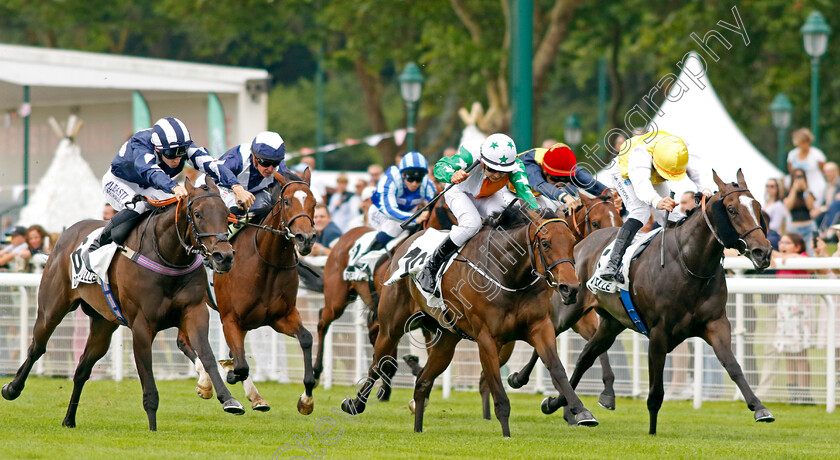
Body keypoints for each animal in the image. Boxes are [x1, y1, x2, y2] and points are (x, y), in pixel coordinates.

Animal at [1, 178, 241, 430]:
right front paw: (153, 428)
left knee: (82, 369)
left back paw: (69, 419)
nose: (224, 256)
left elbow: (207, 356)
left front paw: (228, 399)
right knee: (37, 347)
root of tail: (64, 235)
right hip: (52, 308)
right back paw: (11, 388)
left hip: (103, 323)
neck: (167, 255)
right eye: (197, 213)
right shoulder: (142, 325)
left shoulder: (194, 312)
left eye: (226, 213)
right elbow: (148, 379)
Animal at [182, 169, 316, 414]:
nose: (306, 239)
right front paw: (230, 373)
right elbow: (241, 365)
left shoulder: (281, 317)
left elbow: (306, 339)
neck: (266, 262)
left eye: (314, 202)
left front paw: (306, 399)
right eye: (286, 201)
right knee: (184, 342)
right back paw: (206, 382)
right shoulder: (230, 319)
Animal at [340, 206, 596, 438]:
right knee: (377, 364)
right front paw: (506, 434)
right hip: (390, 327)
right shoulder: (487, 339)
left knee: (422, 382)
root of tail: (404, 244)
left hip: (446, 340)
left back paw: (418, 429)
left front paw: (581, 411)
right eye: (545, 242)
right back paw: (355, 404)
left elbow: (557, 369)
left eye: (572, 241)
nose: (571, 288)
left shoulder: (540, 327)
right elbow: (497, 390)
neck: (508, 275)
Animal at [544, 171, 776, 434]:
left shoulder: (716, 323)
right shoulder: (658, 332)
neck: (689, 263)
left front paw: (759, 408)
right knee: (548, 337)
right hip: (569, 311)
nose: (763, 252)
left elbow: (733, 366)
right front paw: (653, 430)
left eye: (757, 207)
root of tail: (578, 245)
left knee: (585, 357)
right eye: (731, 209)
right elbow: (656, 391)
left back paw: (561, 405)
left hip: (612, 323)